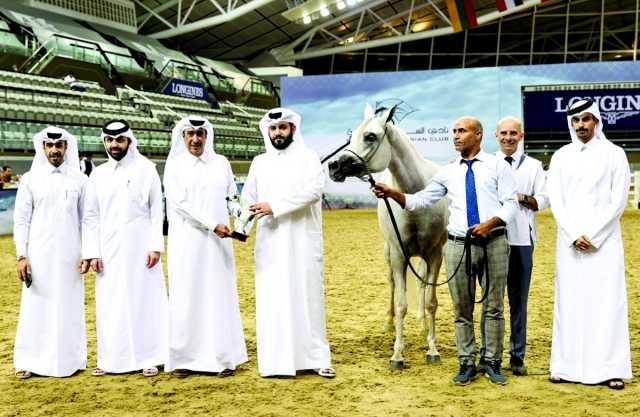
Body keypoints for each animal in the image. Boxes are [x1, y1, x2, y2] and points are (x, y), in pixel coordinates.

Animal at [328, 103, 448, 368]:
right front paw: (397, 354)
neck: (416, 197)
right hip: (388, 254)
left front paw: (432, 349)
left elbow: (431, 302)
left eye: (370, 136)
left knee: (422, 285)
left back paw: (421, 325)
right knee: (392, 285)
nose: (333, 167)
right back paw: (389, 324)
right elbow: (402, 303)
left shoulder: (435, 254)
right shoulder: (398, 256)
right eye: (351, 136)